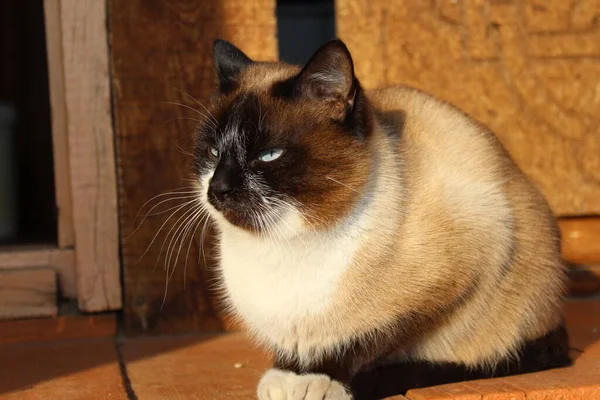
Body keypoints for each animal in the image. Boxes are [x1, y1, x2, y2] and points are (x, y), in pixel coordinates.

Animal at [195, 39, 568, 398]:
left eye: (268, 155)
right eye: (213, 153)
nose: (218, 188)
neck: (280, 245)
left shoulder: (447, 284)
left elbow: (361, 342)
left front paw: (318, 380)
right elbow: (292, 350)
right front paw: (284, 375)